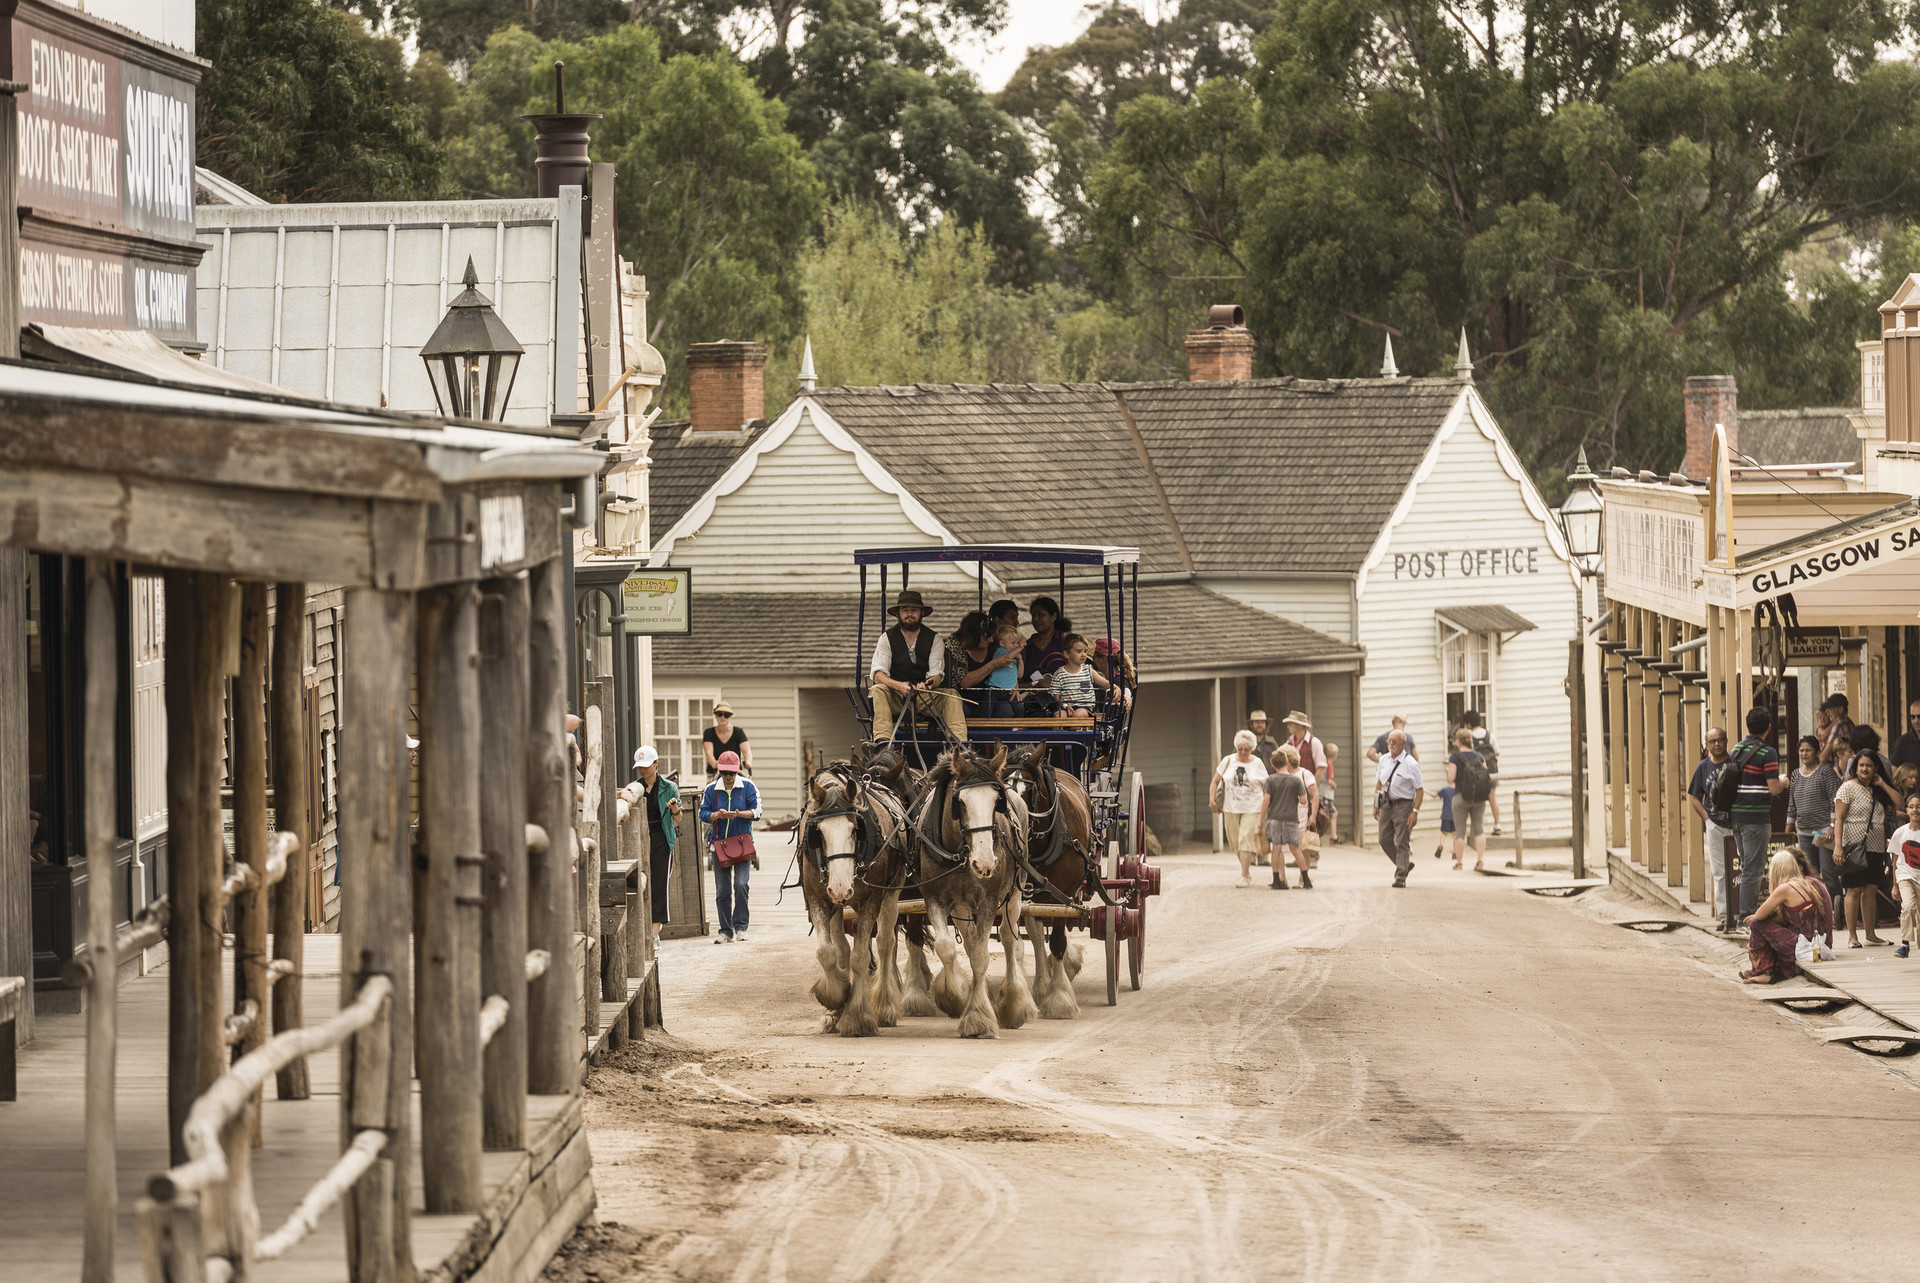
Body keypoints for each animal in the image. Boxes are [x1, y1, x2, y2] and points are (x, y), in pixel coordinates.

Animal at [794, 756, 913, 1037]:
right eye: (818, 832)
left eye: (854, 829)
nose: (840, 887)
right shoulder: (818, 899)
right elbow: (828, 952)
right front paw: (835, 1001)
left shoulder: (871, 900)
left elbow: (861, 957)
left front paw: (856, 1016)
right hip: (839, 906)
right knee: (843, 949)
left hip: (891, 894)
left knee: (885, 943)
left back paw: (885, 1007)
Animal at [910, 741, 1036, 1029]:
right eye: (960, 802)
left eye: (996, 802)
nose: (985, 862)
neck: (957, 852)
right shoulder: (935, 898)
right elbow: (947, 948)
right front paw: (955, 998)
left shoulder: (989, 900)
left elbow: (981, 956)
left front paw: (978, 1018)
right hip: (961, 906)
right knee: (968, 941)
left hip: (1014, 893)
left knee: (1010, 941)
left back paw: (1014, 1002)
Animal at [998, 741, 1090, 1021]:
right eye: (1001, 788)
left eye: (1029, 790)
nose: (1011, 823)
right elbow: (1026, 938)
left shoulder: (1065, 893)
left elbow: (1058, 942)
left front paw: (1060, 998)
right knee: (1038, 936)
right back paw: (1041, 983)